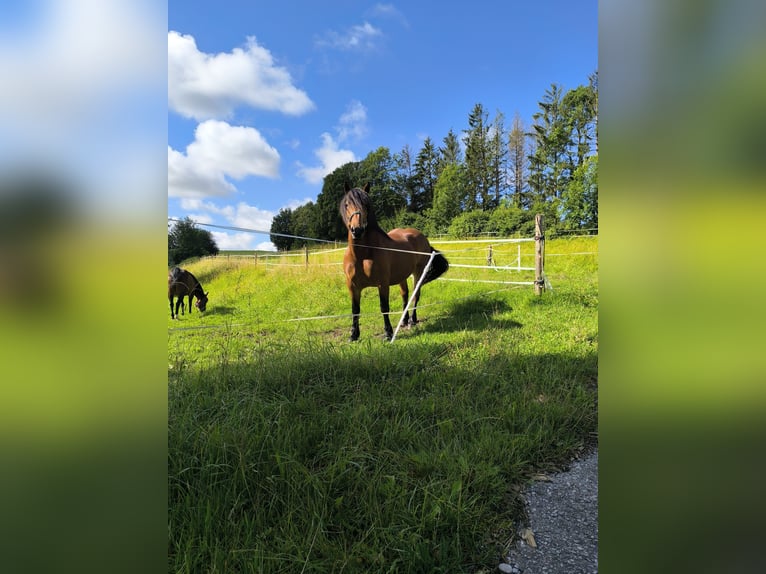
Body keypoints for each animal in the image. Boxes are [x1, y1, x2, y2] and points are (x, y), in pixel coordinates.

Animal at [342, 183, 450, 342]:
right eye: (347, 204)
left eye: (366, 205)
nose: (357, 230)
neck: (362, 255)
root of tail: (422, 237)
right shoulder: (352, 286)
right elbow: (355, 310)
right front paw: (353, 335)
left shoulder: (382, 284)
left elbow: (384, 307)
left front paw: (388, 333)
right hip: (402, 276)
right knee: (405, 295)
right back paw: (404, 321)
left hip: (418, 273)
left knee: (415, 295)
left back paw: (412, 320)